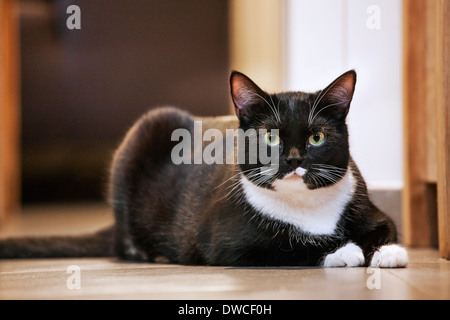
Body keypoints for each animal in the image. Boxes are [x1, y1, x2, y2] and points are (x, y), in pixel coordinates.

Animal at [0, 70, 408, 268]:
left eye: (317, 137)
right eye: (270, 137)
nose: (293, 160)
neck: (308, 207)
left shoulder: (368, 207)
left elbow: (385, 226)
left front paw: (388, 252)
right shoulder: (228, 241)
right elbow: (288, 246)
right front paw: (344, 252)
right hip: (146, 131)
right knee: (124, 240)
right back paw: (151, 253)